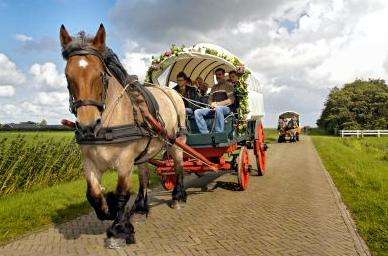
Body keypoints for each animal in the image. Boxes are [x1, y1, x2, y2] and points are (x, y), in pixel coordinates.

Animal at [59, 25, 188, 247]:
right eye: (68, 76)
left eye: (101, 75)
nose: (87, 127)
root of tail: (173, 93)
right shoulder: (89, 161)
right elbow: (93, 194)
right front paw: (108, 210)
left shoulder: (125, 160)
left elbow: (121, 194)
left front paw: (119, 229)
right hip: (146, 151)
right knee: (144, 175)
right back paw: (141, 208)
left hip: (175, 141)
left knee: (178, 166)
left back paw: (177, 197)